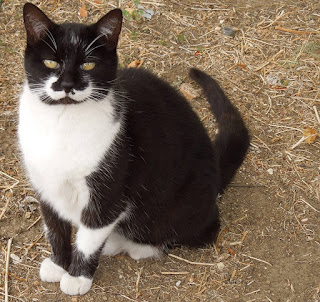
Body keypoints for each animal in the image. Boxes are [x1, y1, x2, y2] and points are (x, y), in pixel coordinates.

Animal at [18, 1, 250, 294]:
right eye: (50, 62)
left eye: (89, 64)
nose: (68, 86)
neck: (62, 122)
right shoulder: (45, 184)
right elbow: (54, 227)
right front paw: (59, 264)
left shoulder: (109, 191)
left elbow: (90, 236)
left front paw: (77, 277)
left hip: (178, 206)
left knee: (201, 231)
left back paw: (130, 244)